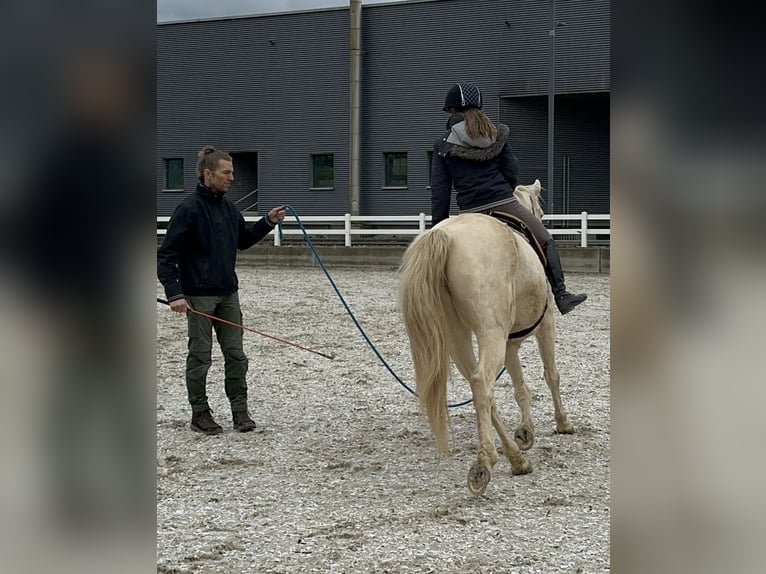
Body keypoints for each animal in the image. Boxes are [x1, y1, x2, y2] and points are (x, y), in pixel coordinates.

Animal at [400, 181, 572, 500]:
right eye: (541, 212)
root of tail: (446, 236)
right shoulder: (546, 325)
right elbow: (551, 375)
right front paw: (563, 423)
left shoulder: (510, 345)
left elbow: (520, 388)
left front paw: (526, 432)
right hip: (490, 333)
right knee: (482, 383)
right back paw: (485, 463)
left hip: (459, 337)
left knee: (481, 387)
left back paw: (516, 457)